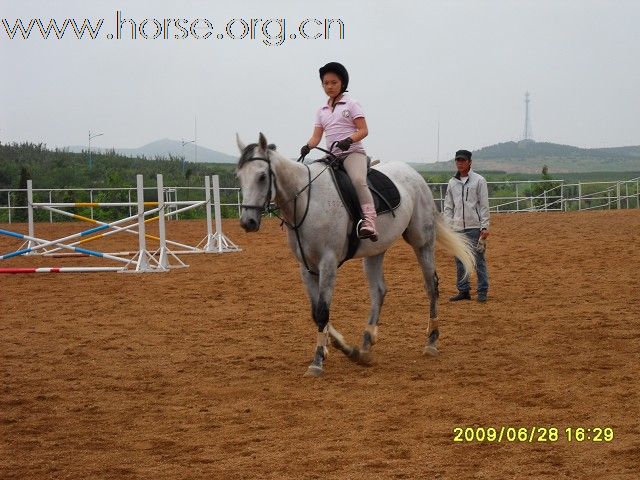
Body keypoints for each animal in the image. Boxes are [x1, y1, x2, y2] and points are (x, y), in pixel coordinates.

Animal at [236, 133, 476, 376]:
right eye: (239, 176)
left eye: (262, 176)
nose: (248, 222)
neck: (307, 202)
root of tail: (414, 174)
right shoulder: (306, 268)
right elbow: (315, 312)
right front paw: (340, 347)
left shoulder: (328, 263)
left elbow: (322, 311)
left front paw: (318, 361)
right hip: (376, 251)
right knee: (378, 291)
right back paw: (366, 346)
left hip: (422, 242)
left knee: (431, 286)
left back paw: (431, 341)